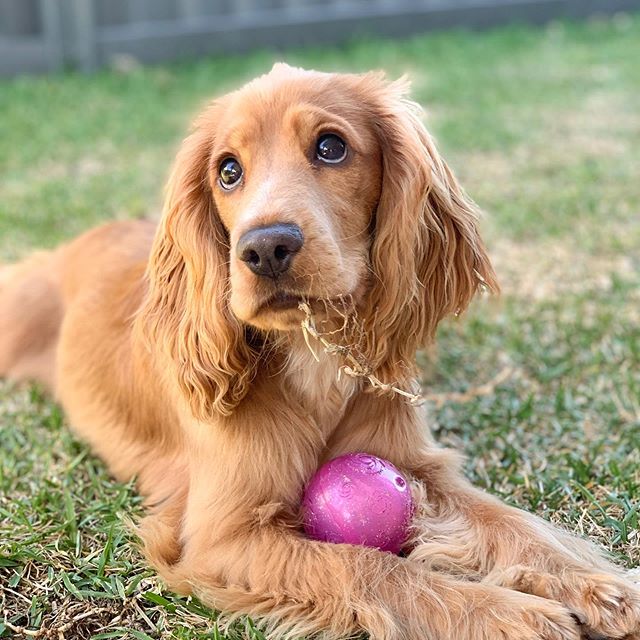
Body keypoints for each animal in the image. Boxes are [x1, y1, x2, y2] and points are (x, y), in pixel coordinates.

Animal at [1, 66, 640, 640]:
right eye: (228, 171)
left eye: (331, 147)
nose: (265, 248)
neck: (313, 352)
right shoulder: (224, 539)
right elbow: (367, 567)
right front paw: (505, 614)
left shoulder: (418, 464)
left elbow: (513, 524)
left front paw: (603, 587)